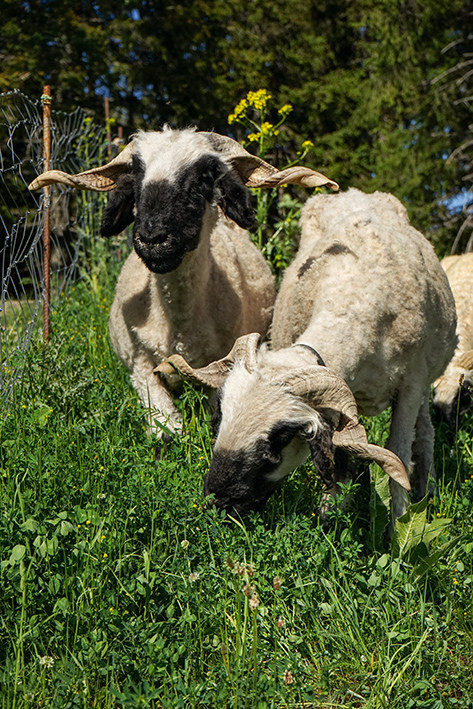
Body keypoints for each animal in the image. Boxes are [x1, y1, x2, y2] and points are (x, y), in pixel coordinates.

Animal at [29, 127, 338, 439]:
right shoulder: (139, 366)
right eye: (137, 174)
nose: (153, 238)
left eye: (205, 175)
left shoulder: (220, 367)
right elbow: (166, 427)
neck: (177, 326)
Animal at [157, 188, 457, 520]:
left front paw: (397, 525)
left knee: (425, 435)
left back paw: (427, 490)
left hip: (426, 382)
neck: (355, 296)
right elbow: (339, 461)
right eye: (221, 414)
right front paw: (331, 520)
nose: (218, 501)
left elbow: (398, 456)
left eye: (281, 437)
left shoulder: (410, 386)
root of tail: (355, 192)